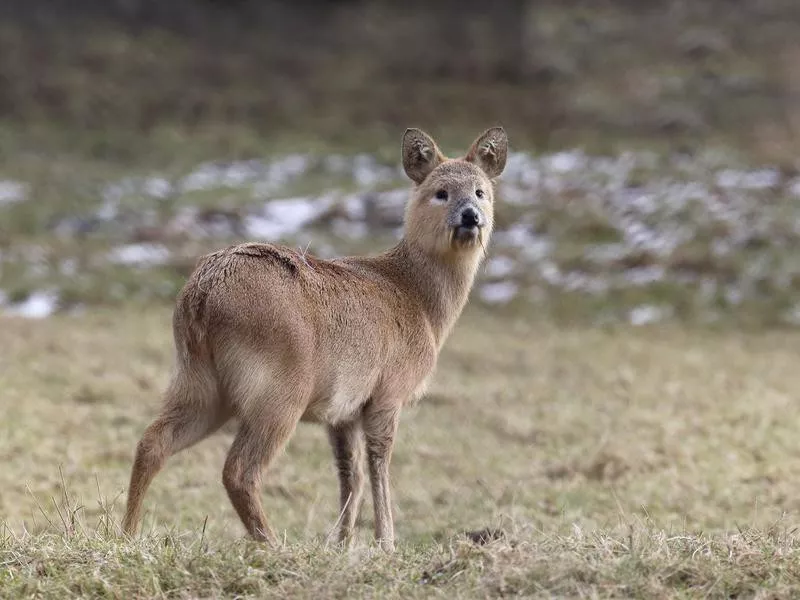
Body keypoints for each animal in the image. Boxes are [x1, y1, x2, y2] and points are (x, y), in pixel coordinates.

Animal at [119, 126, 506, 552]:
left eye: (480, 191)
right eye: (441, 192)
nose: (471, 216)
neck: (418, 300)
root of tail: (201, 294)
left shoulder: (342, 409)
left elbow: (349, 472)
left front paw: (340, 543)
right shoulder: (388, 392)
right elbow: (378, 464)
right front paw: (386, 543)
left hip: (198, 380)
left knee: (152, 442)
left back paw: (127, 536)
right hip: (278, 387)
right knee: (238, 470)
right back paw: (272, 545)